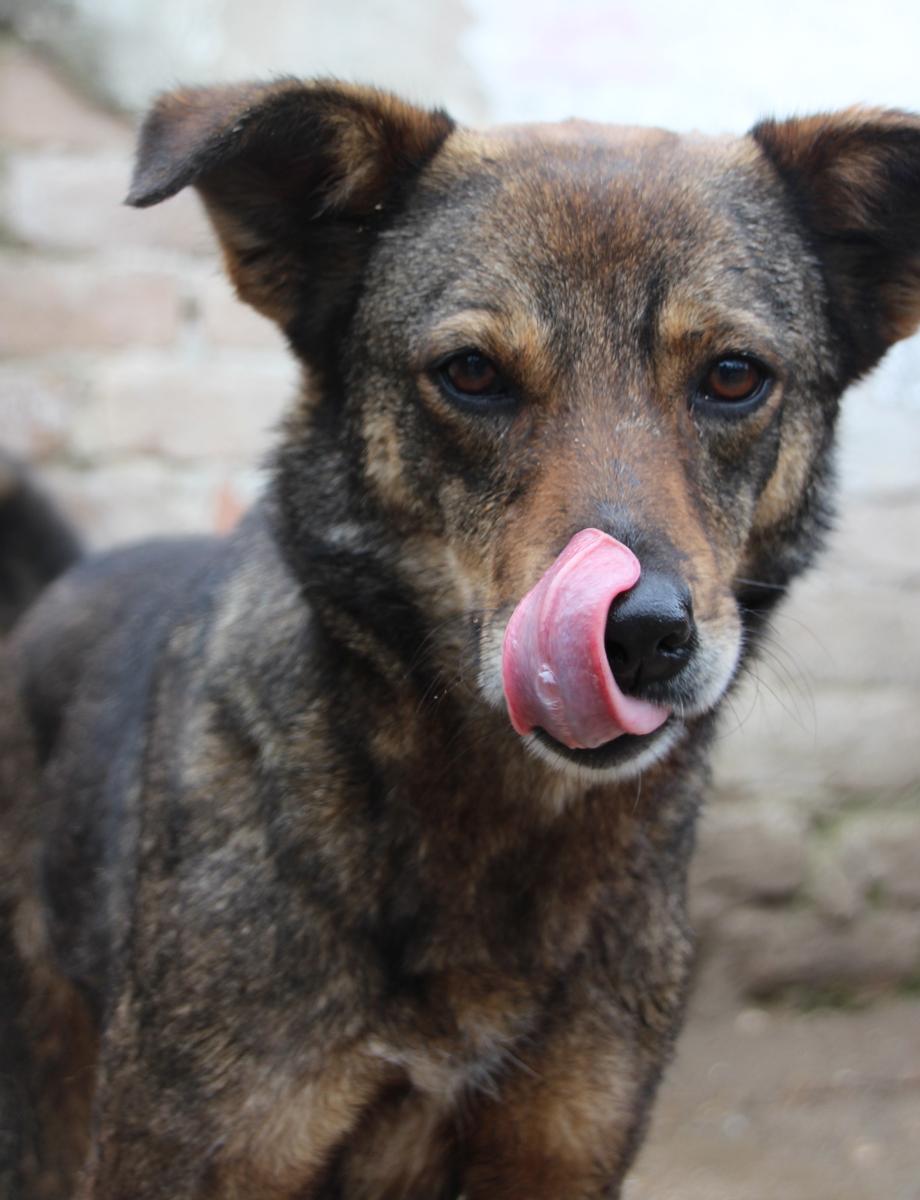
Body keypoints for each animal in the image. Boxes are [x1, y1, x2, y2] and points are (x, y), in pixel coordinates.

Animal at [3, 81, 920, 1198]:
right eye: (472, 373)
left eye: (734, 376)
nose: (641, 635)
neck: (490, 821)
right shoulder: (184, 1154)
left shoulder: (559, 1154)